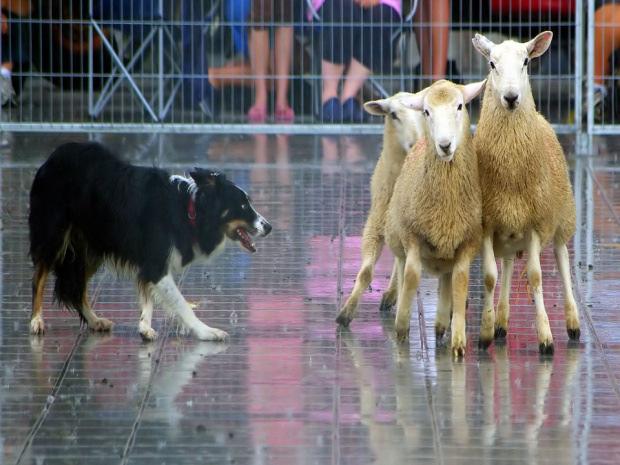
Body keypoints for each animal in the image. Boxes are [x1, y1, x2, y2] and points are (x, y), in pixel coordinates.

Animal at [29, 141, 270, 340]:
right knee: (40, 277)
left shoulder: (152, 262)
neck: (189, 209)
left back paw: (94, 320)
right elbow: (181, 303)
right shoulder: (156, 263)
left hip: (94, 245)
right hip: (54, 235)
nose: (269, 227)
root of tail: (53, 156)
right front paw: (207, 331)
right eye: (242, 206)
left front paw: (144, 326)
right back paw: (36, 320)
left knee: (76, 287)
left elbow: (148, 294)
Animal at [334, 90, 426, 324]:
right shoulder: (374, 225)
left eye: (423, 113)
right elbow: (366, 272)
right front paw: (346, 312)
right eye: (393, 114)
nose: (415, 143)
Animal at [382, 80, 490, 356]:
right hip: (398, 240)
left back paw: (441, 324)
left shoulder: (467, 244)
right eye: (427, 112)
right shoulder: (412, 237)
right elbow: (411, 276)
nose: (444, 145)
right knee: (402, 270)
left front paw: (459, 341)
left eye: (460, 106)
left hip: (445, 255)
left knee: (446, 281)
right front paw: (401, 328)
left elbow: (460, 283)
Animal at [474, 30, 580, 354]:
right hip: (510, 233)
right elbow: (490, 277)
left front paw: (545, 337)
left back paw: (573, 324)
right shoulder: (488, 223)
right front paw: (485, 332)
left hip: (562, 219)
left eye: (525, 62)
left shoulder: (536, 222)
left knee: (562, 262)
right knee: (508, 267)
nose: (511, 98)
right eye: (492, 64)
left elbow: (535, 277)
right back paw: (501, 323)